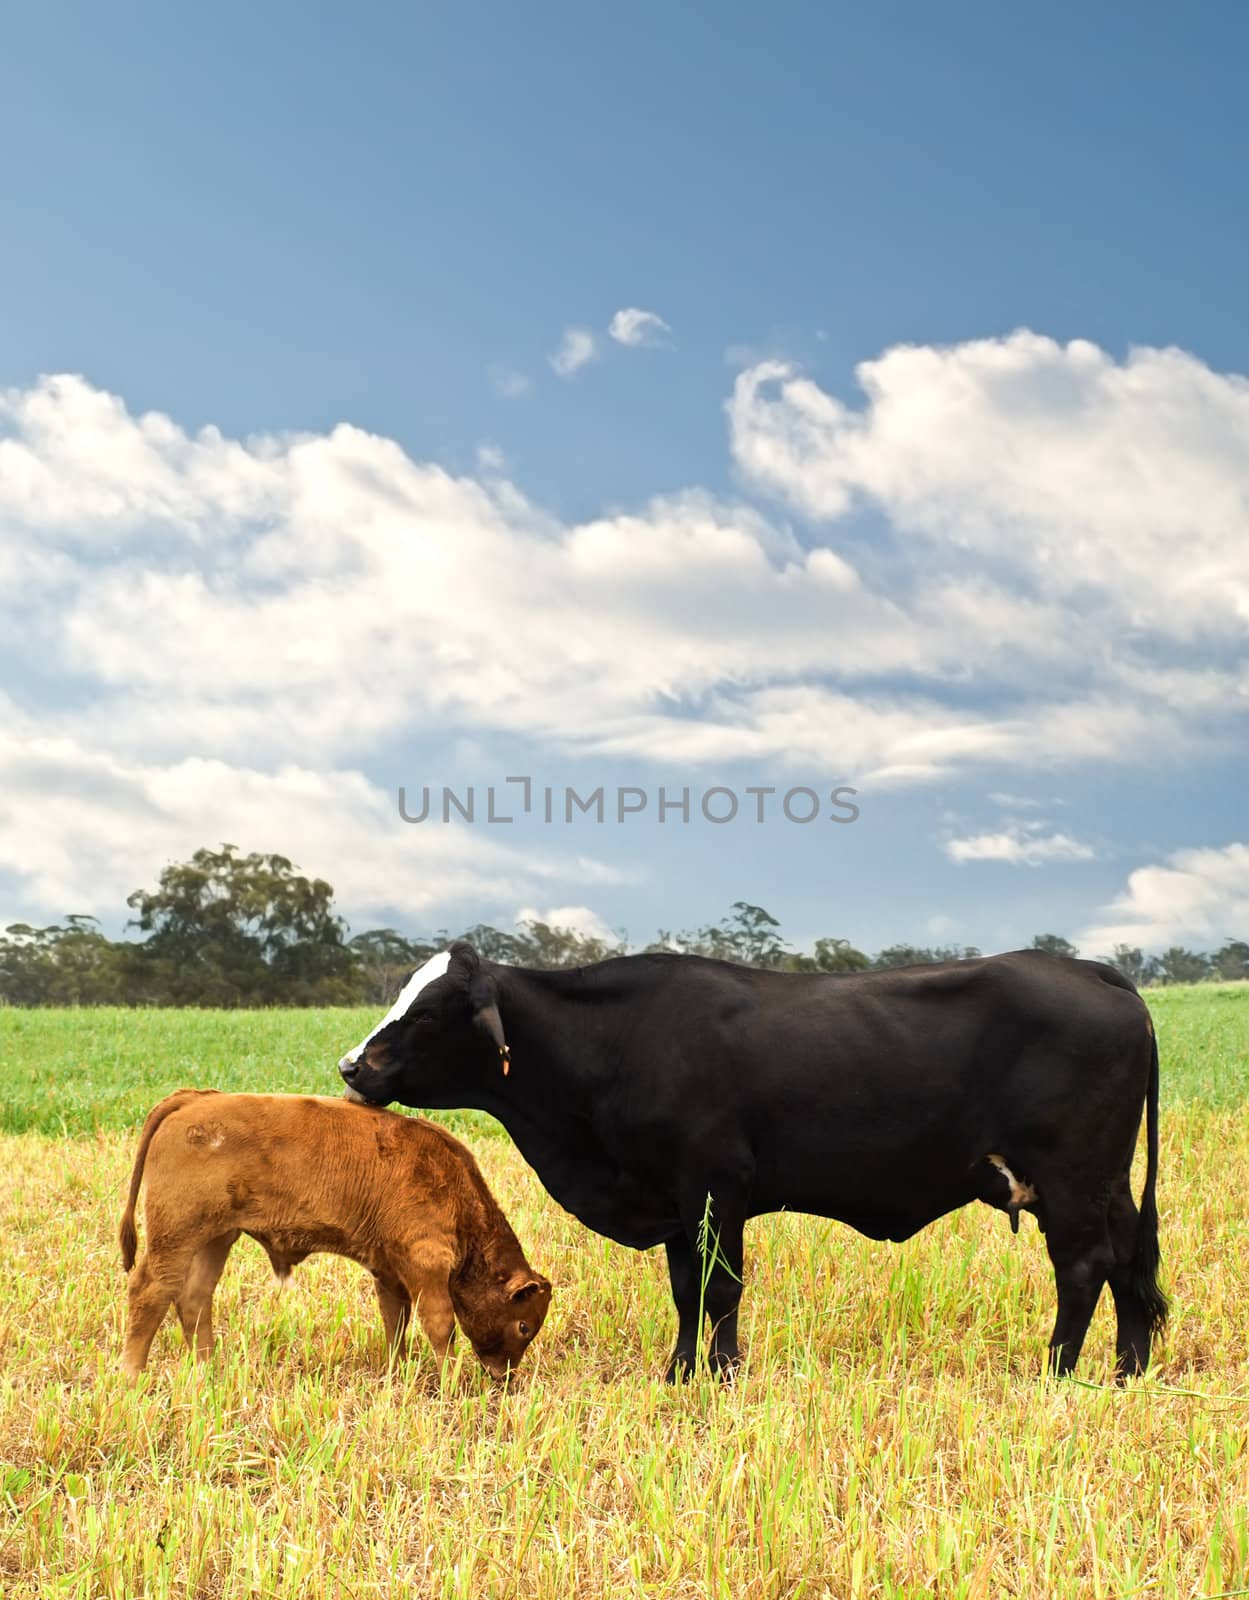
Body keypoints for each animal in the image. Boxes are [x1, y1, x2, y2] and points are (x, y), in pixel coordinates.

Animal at [118, 1094, 550, 1382]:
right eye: (523, 1326)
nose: (503, 1375)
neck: (456, 1189)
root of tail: (194, 1098)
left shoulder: (388, 1271)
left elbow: (395, 1322)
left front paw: (396, 1374)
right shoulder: (426, 1264)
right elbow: (440, 1324)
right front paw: (451, 1384)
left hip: (216, 1237)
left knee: (194, 1297)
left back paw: (209, 1370)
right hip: (176, 1235)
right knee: (151, 1291)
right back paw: (131, 1377)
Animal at [335, 940, 1164, 1382]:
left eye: (428, 1012)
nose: (349, 1066)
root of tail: (1089, 969)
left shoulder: (715, 1187)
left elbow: (721, 1289)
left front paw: (724, 1371)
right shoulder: (672, 1203)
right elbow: (684, 1292)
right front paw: (678, 1372)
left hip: (1070, 1179)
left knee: (1083, 1267)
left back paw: (1057, 1370)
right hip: (1108, 1184)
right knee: (1129, 1264)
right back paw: (1127, 1371)